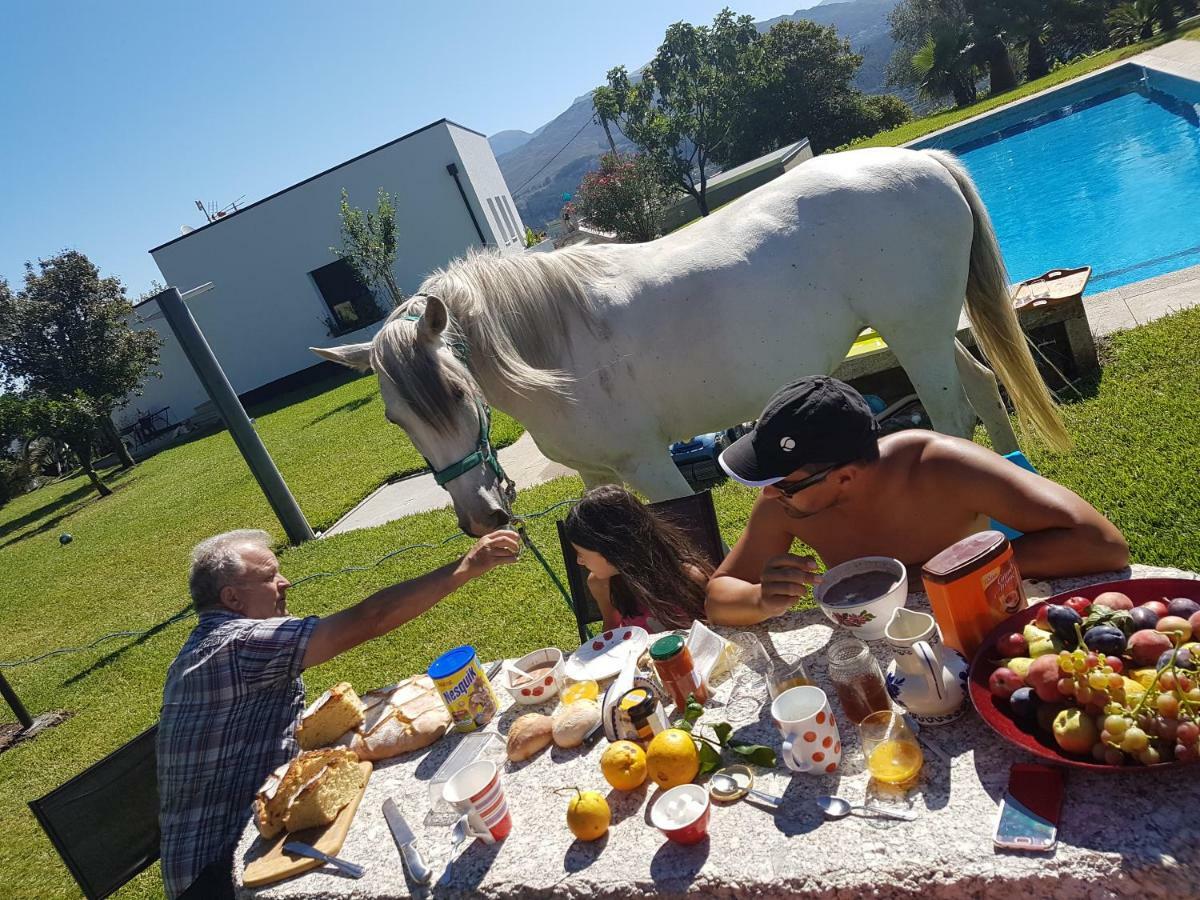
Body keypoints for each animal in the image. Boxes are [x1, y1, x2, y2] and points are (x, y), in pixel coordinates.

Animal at [312, 148, 1070, 535]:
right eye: (395, 418)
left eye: (455, 392)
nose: (481, 516)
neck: (549, 346)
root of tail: (927, 162)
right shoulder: (594, 474)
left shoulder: (649, 466)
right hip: (930, 331)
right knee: (983, 390)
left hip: (916, 337)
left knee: (952, 415)